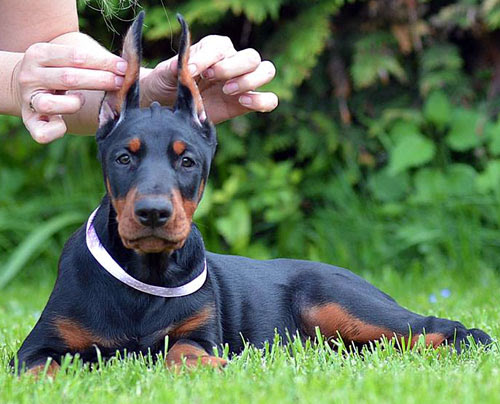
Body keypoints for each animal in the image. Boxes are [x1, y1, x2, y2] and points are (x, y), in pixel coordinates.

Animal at [12, 12, 492, 376]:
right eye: (123, 158)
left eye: (188, 162)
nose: (152, 214)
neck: (147, 275)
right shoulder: (37, 346)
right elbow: (41, 369)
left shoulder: (200, 333)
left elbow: (182, 350)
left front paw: (209, 368)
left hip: (339, 303)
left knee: (432, 326)